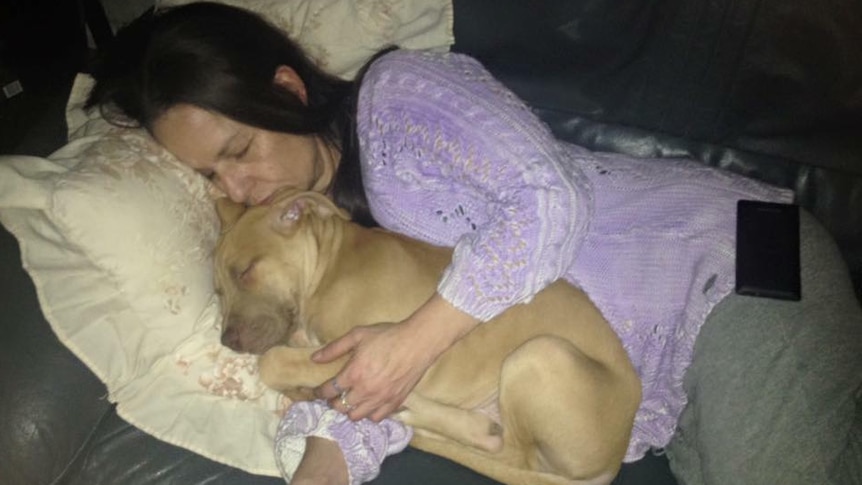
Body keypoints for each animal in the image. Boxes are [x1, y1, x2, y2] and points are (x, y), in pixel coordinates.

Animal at [213, 189, 644, 484]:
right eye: (218, 291)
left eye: (247, 271)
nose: (228, 342)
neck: (329, 263)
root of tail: (615, 456)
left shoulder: (365, 351)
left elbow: (274, 360)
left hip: (540, 355)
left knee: (511, 454)